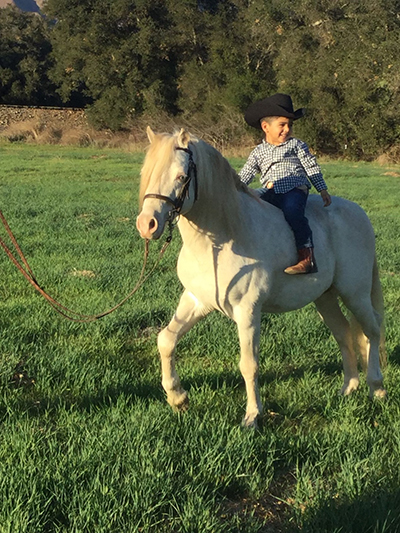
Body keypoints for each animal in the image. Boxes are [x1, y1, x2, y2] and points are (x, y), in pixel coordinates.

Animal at [136, 127, 386, 426]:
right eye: (146, 173)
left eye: (181, 177)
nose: (147, 225)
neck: (222, 240)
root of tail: (359, 213)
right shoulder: (196, 301)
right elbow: (166, 340)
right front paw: (178, 398)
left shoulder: (248, 312)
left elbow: (249, 364)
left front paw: (253, 416)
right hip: (324, 298)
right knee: (344, 333)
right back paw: (348, 388)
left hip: (355, 293)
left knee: (373, 330)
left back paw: (377, 388)